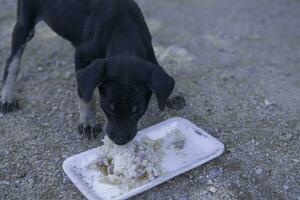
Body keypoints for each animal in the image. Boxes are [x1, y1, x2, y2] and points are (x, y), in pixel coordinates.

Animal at [0, 0, 175, 145]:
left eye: (136, 110)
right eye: (108, 107)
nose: (119, 141)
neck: (124, 33)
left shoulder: (149, 52)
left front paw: (170, 98)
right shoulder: (82, 55)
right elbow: (85, 95)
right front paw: (88, 122)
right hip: (25, 22)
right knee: (12, 61)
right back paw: (7, 97)